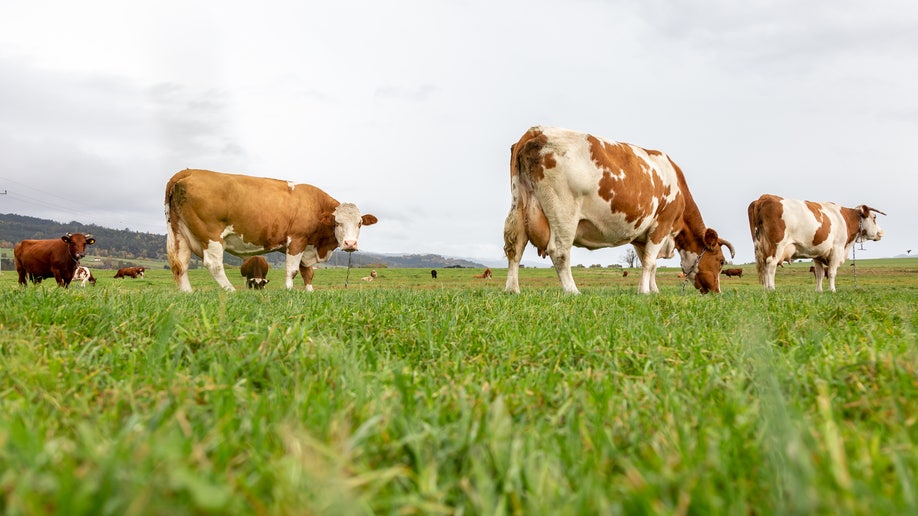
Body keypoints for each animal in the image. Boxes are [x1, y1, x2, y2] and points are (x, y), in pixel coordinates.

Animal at [165, 168, 378, 292]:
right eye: (337, 222)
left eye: (360, 223)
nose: (350, 244)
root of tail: (190, 171)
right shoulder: (297, 240)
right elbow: (293, 270)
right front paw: (289, 291)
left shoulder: (306, 245)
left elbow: (307, 272)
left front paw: (309, 292)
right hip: (210, 235)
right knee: (214, 264)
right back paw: (231, 291)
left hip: (180, 233)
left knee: (181, 264)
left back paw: (187, 293)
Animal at [500, 125, 736, 294]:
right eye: (721, 261)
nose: (716, 291)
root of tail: (537, 130)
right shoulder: (662, 224)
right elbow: (650, 261)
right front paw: (644, 292)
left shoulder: (642, 236)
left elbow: (649, 264)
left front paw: (653, 290)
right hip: (564, 212)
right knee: (559, 251)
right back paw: (572, 291)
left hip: (519, 205)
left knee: (515, 247)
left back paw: (513, 290)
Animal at [752, 192, 888, 290]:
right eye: (874, 217)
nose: (881, 232)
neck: (845, 219)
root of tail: (765, 197)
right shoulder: (837, 249)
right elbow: (832, 272)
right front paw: (832, 290)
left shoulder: (817, 253)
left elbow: (820, 273)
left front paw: (819, 290)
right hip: (777, 246)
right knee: (771, 264)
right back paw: (771, 289)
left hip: (762, 247)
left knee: (764, 266)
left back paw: (765, 289)